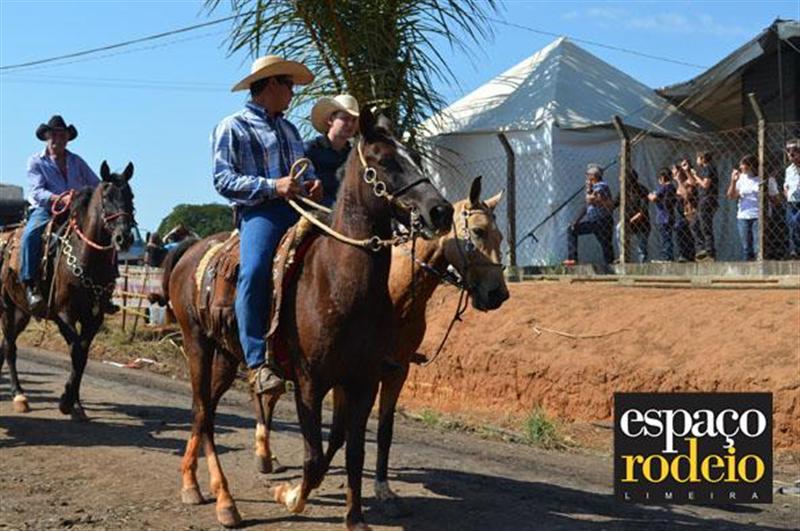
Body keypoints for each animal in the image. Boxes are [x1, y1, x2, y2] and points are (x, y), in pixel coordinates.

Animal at [0, 162, 136, 420]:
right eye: (106, 197)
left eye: (130, 196)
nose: (123, 237)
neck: (86, 257)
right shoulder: (64, 314)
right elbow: (76, 351)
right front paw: (66, 401)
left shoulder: (94, 317)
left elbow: (82, 354)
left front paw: (75, 403)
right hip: (6, 307)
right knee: (10, 348)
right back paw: (19, 395)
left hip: (22, 312)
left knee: (6, 345)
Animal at [168, 107, 453, 529]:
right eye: (384, 160)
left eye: (416, 156)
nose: (440, 211)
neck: (336, 283)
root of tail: (188, 252)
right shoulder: (309, 382)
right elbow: (314, 457)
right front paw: (288, 496)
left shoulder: (363, 381)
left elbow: (353, 452)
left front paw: (355, 518)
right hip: (196, 346)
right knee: (203, 412)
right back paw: (225, 502)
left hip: (226, 355)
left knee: (204, 412)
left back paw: (192, 484)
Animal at [255, 176, 510, 517]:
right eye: (479, 231)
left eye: (500, 235)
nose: (498, 295)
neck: (397, 295)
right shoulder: (354, 376)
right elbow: (340, 433)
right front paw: (302, 489)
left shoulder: (394, 372)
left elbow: (379, 432)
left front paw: (383, 489)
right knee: (264, 394)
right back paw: (264, 456)